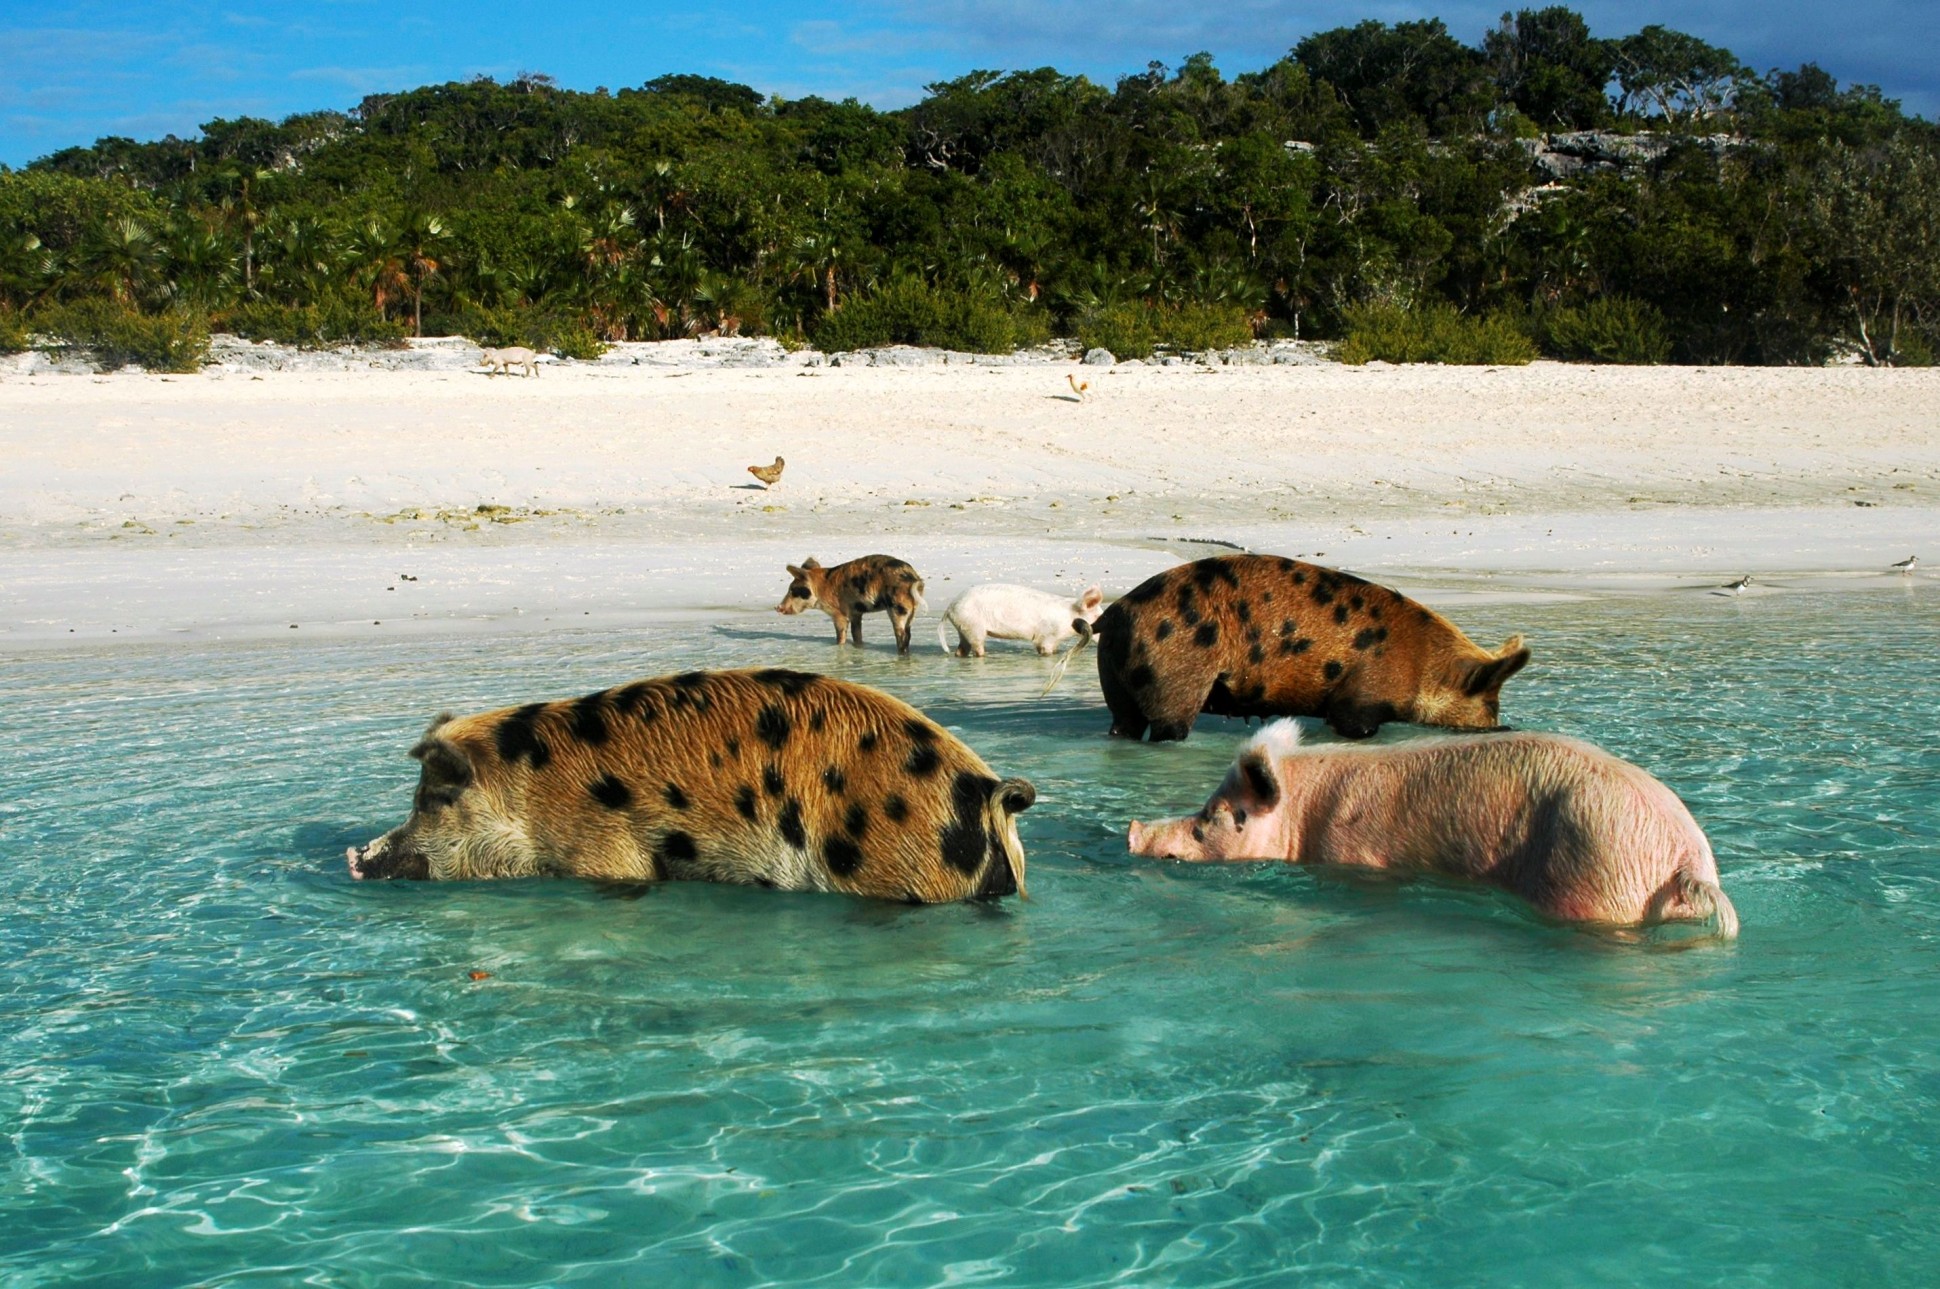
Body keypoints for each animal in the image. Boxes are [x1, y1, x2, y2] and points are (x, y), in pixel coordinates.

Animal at [772, 555, 923, 656]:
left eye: (793, 590)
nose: (778, 607)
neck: (822, 588)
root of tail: (912, 578)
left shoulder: (838, 612)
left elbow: (840, 633)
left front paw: (839, 647)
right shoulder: (856, 612)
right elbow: (856, 634)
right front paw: (858, 647)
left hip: (897, 607)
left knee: (902, 635)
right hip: (912, 610)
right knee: (908, 634)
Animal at [1094, 555, 1528, 745]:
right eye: (1490, 703)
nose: (1502, 726)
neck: (1423, 664)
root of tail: (1115, 613)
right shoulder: (1360, 697)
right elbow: (1351, 725)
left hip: (1114, 679)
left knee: (1123, 724)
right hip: (1174, 676)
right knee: (1168, 728)